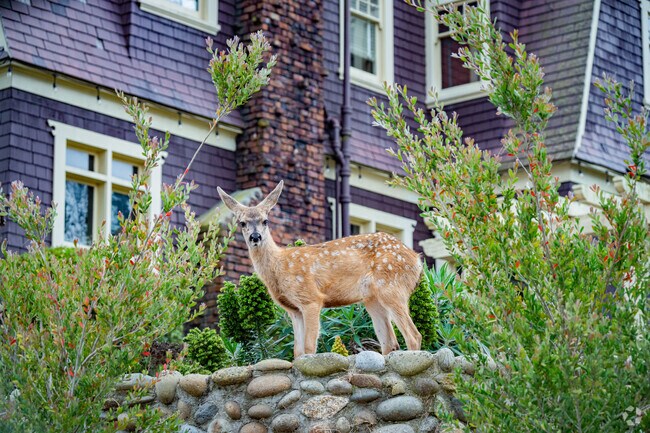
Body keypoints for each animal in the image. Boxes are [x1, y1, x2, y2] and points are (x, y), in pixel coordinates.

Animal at [217, 180, 423, 357]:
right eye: (242, 222)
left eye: (265, 220)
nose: (255, 237)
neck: (279, 266)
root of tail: (416, 260)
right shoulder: (293, 310)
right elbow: (297, 352)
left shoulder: (310, 298)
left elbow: (309, 347)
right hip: (372, 299)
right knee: (390, 342)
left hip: (392, 286)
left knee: (413, 335)